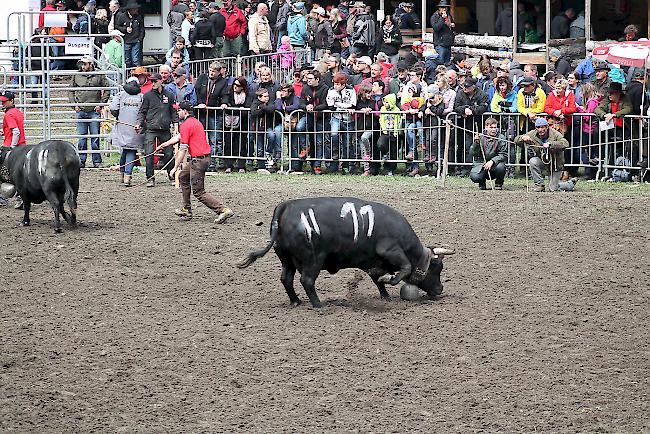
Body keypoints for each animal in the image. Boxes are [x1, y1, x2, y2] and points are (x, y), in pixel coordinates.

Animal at [235, 197, 454, 308]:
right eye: (437, 268)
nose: (440, 289)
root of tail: (285, 206)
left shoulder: (373, 263)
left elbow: (377, 278)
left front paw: (385, 295)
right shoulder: (391, 250)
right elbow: (404, 268)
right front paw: (389, 281)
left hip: (286, 258)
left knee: (286, 279)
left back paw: (296, 301)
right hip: (313, 259)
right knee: (307, 281)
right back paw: (318, 304)